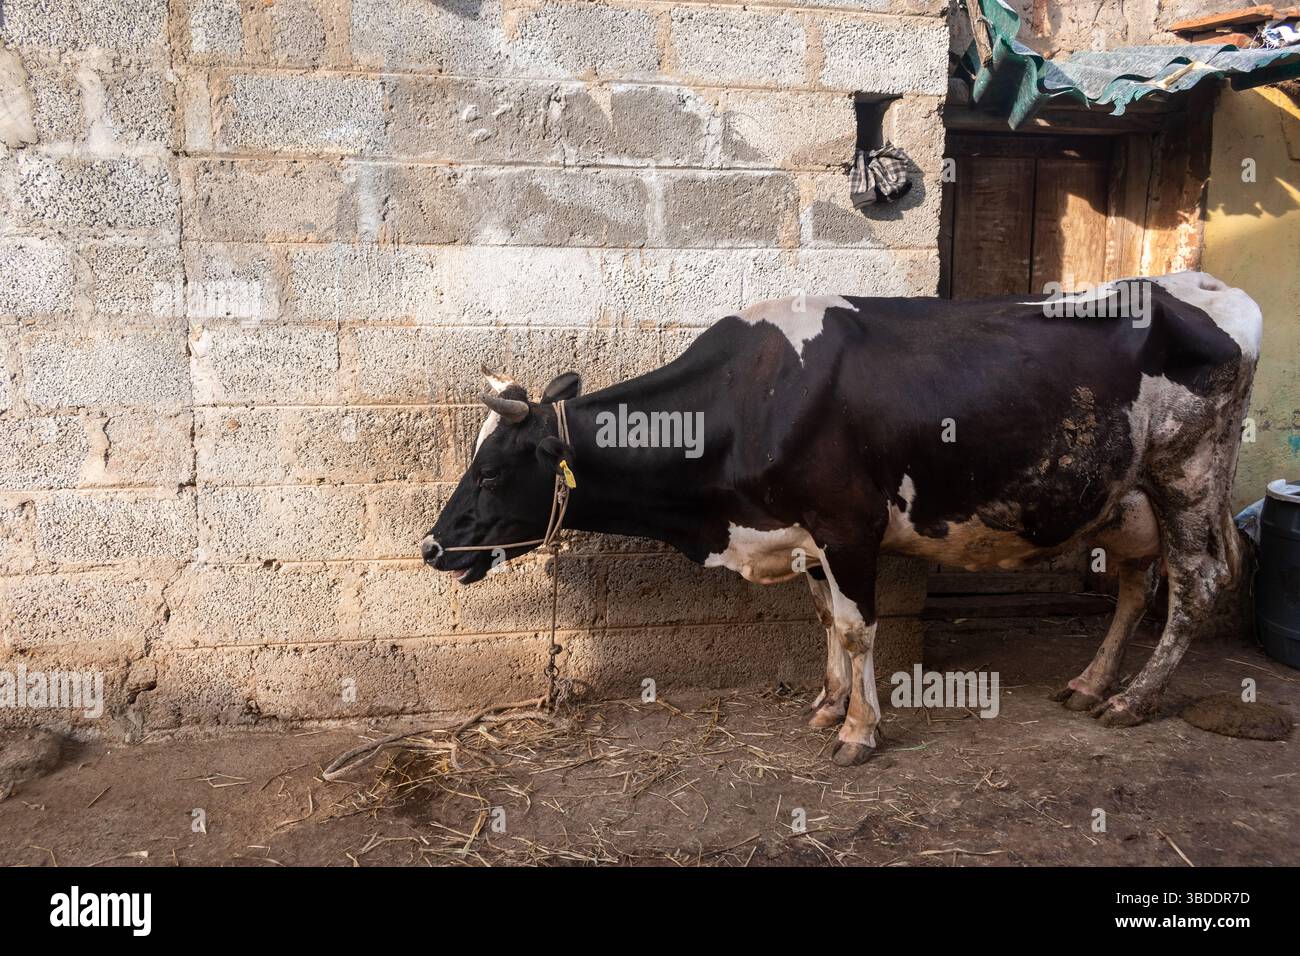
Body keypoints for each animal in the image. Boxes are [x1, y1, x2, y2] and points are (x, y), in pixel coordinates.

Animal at [422, 272, 1261, 766]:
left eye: (491, 471)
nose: (431, 546)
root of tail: (1208, 287)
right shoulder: (801, 533)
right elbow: (827, 618)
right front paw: (829, 707)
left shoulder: (848, 526)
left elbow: (859, 628)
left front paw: (861, 729)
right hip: (1130, 498)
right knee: (1136, 583)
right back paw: (1089, 683)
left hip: (1188, 472)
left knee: (1195, 585)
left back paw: (1132, 699)